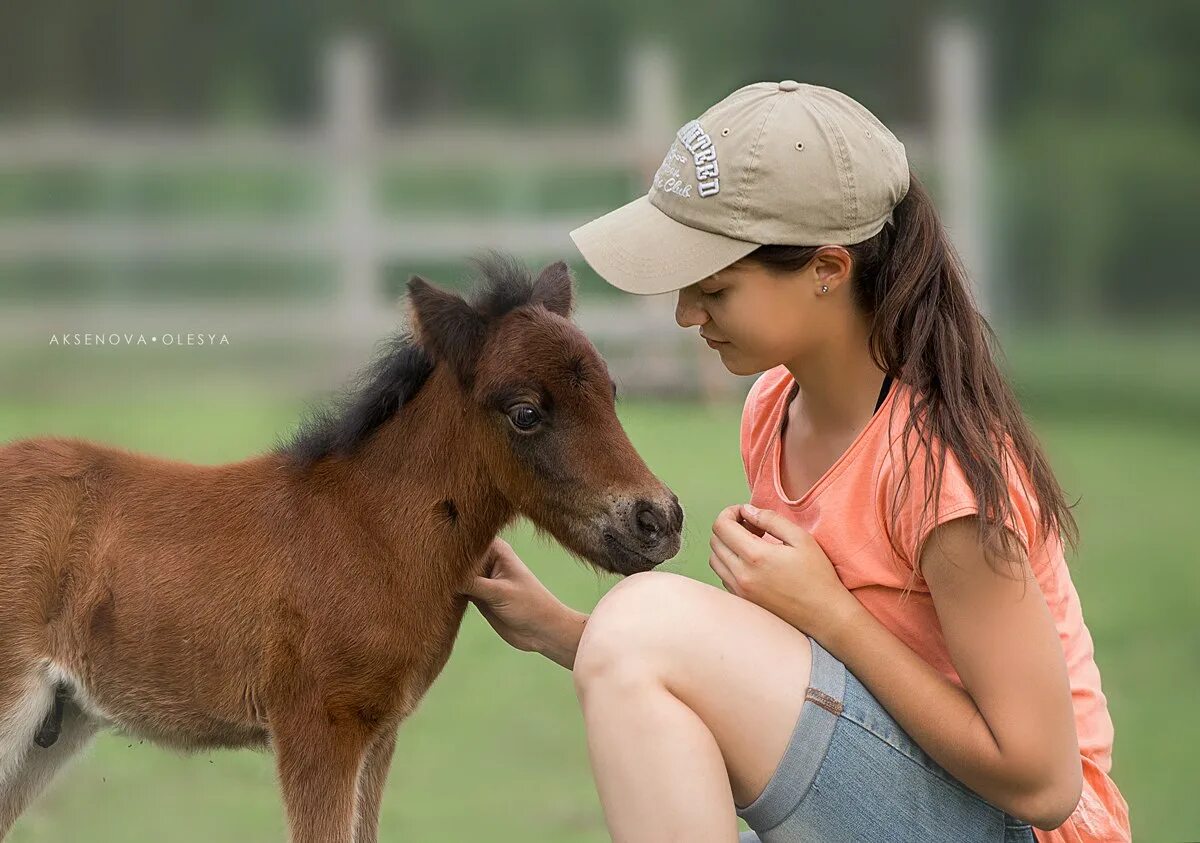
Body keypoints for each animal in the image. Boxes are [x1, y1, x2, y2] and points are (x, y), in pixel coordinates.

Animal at [0, 254, 681, 840]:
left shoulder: (378, 732)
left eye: (611, 392)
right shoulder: (318, 728)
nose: (659, 520)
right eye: (526, 413)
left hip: (55, 728)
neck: (369, 530)